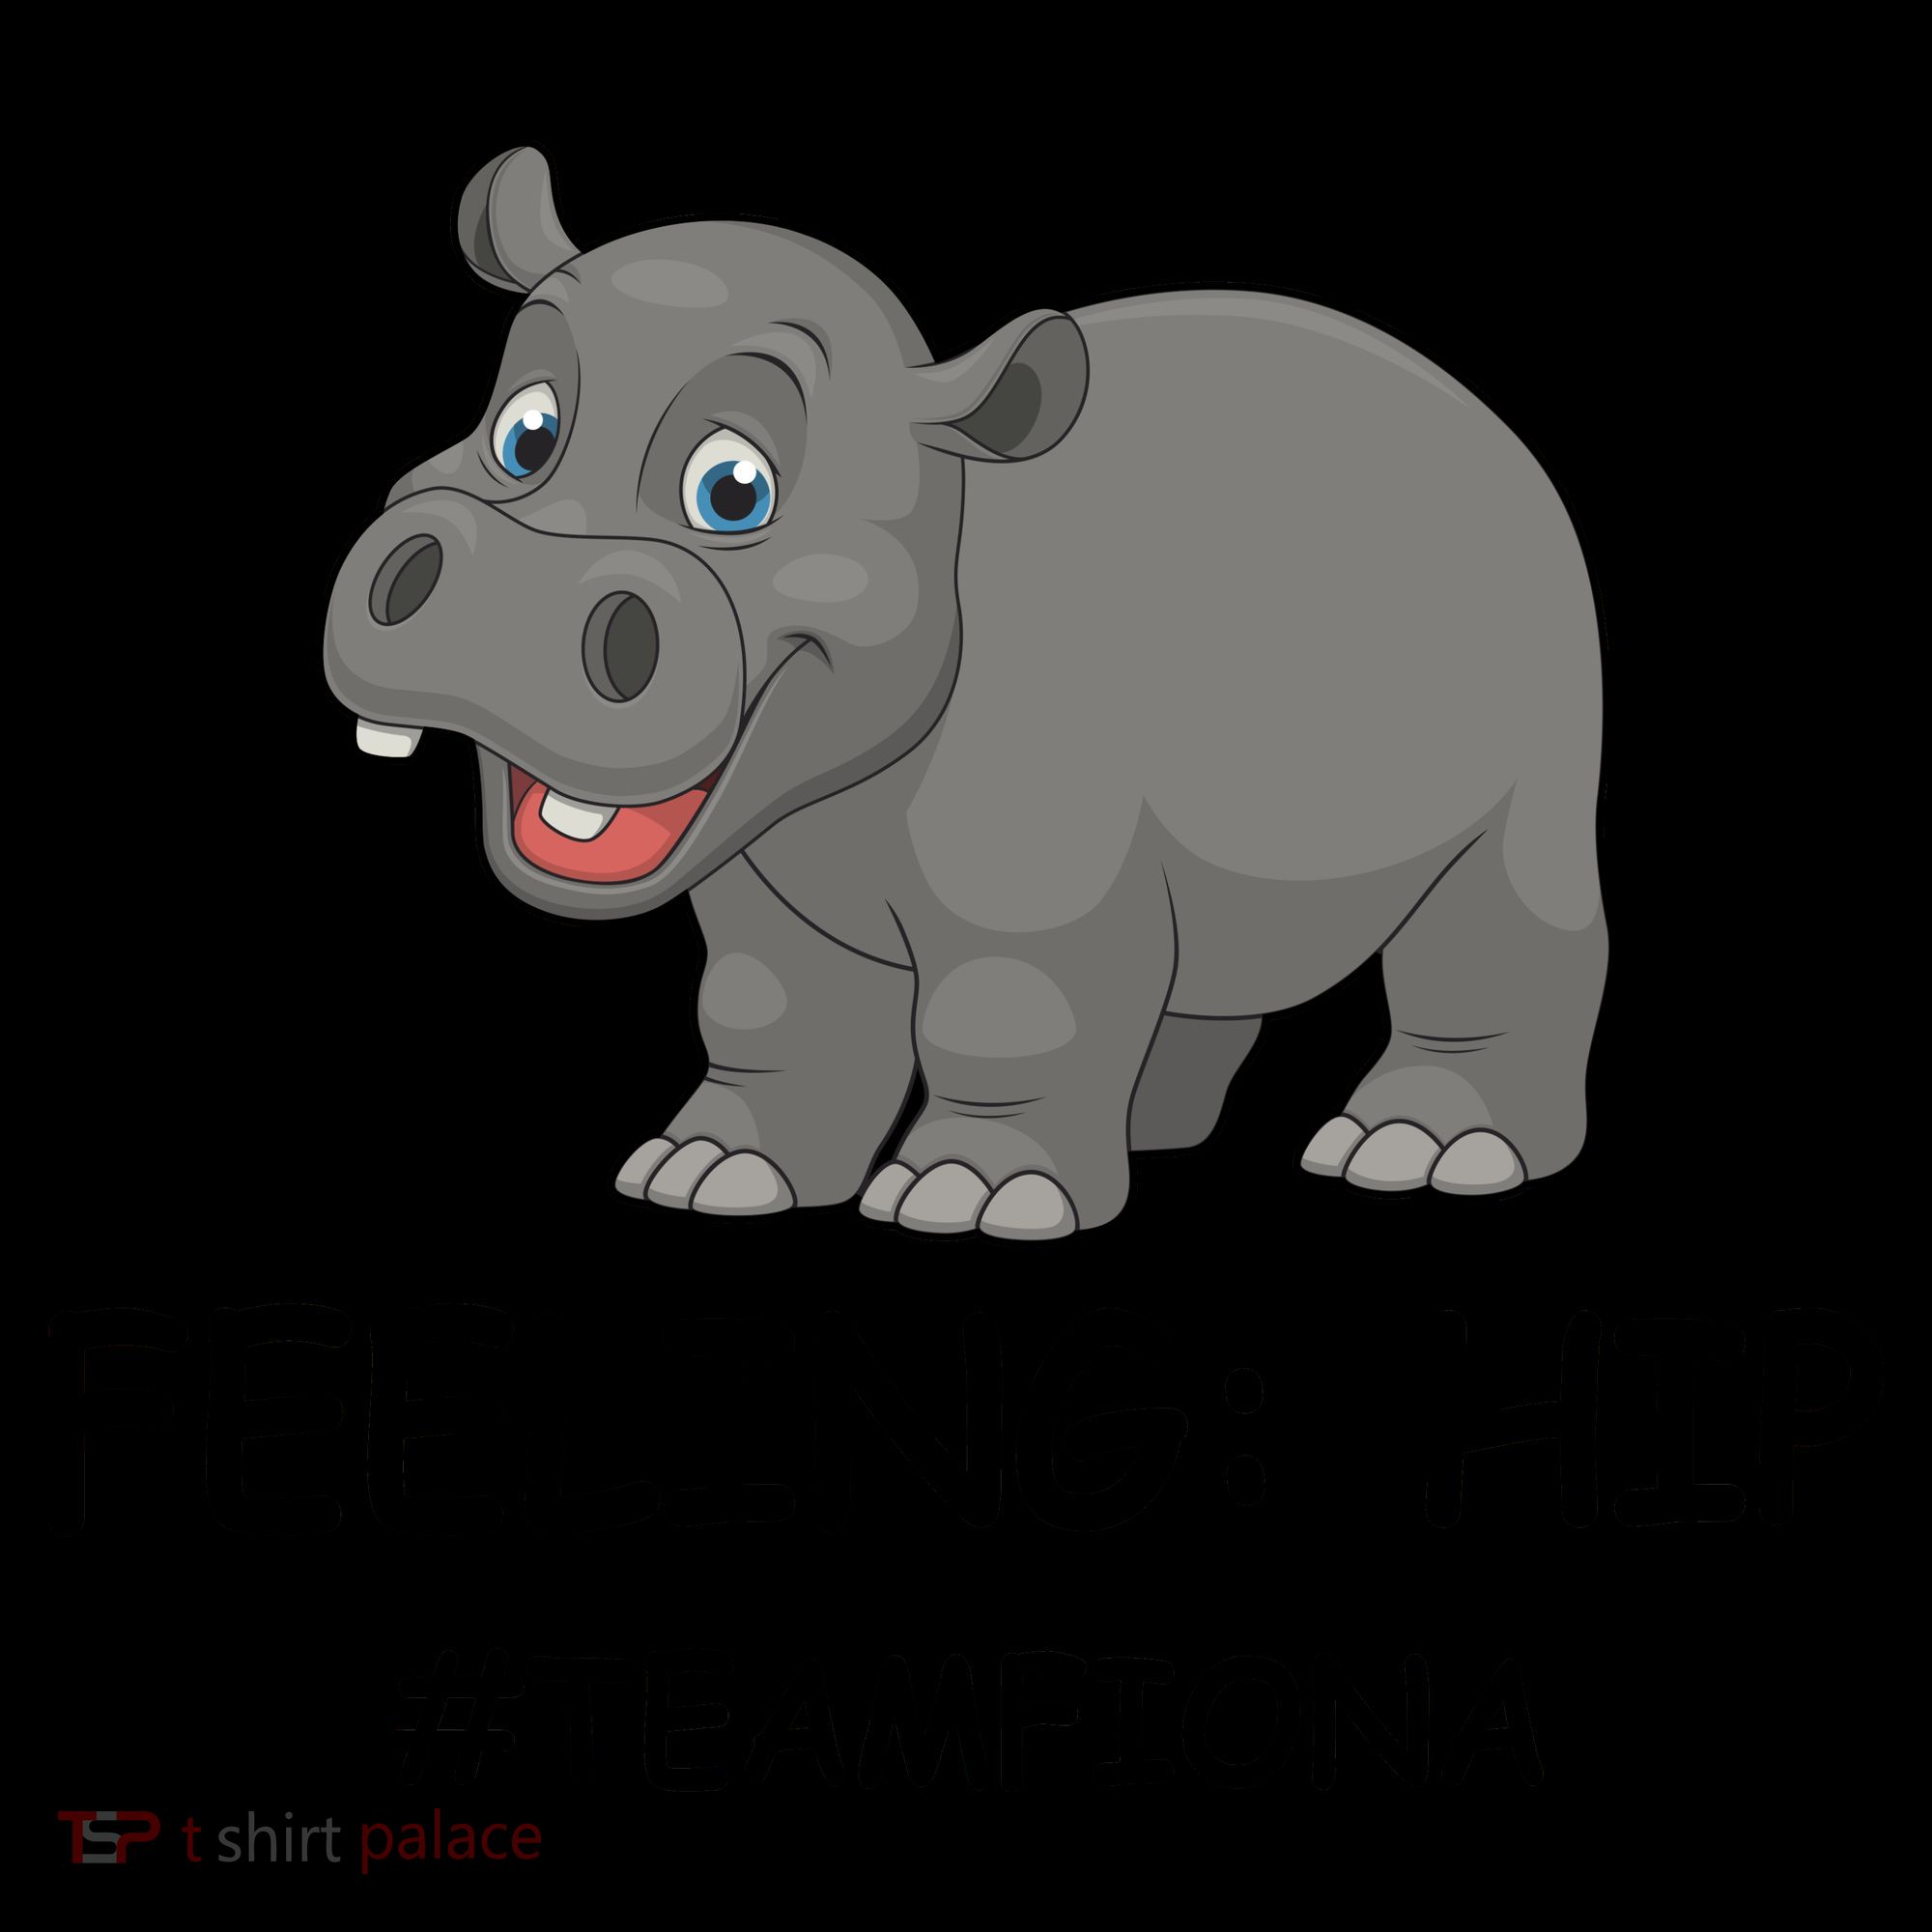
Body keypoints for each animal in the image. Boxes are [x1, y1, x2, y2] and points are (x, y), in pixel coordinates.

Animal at [323, 148, 1606, 1239]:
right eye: (523, 432)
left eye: (733, 489)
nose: (504, 580)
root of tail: (1480, 414)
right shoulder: (765, 880)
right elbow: (772, 1014)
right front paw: (712, 1173)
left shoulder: (1033, 873)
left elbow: (1007, 1008)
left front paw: (969, 1197)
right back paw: (1153, 1131)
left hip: (1545, 714)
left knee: (1497, 916)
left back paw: (1421, 1152)